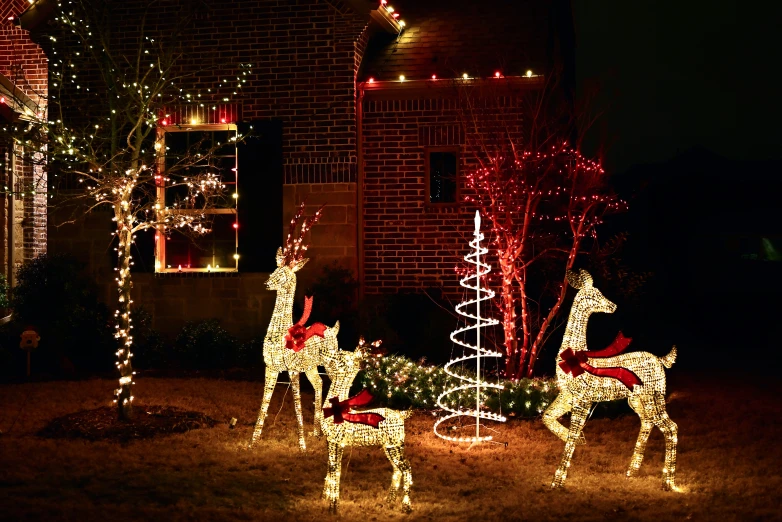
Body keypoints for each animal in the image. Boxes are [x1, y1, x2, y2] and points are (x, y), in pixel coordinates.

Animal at [248, 201, 340, 448]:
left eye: (284, 273)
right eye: (275, 268)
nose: (267, 282)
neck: (281, 333)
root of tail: (333, 329)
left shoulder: (292, 369)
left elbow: (297, 405)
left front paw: (302, 446)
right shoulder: (270, 368)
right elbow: (263, 405)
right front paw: (252, 442)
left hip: (329, 363)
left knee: (337, 382)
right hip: (311, 366)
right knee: (319, 384)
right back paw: (317, 432)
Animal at [320, 338, 416, 512]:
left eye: (341, 357)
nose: (325, 352)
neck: (338, 407)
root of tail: (401, 414)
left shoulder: (337, 441)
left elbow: (335, 469)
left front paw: (333, 506)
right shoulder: (331, 441)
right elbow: (332, 468)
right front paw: (326, 498)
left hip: (396, 444)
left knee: (406, 468)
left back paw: (406, 506)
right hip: (389, 446)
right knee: (397, 469)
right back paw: (389, 500)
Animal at [544, 268, 680, 488]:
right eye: (595, 295)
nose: (613, 305)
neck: (575, 355)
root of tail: (661, 360)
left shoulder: (583, 399)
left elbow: (572, 434)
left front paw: (558, 480)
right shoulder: (567, 395)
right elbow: (547, 417)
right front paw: (582, 439)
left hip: (654, 395)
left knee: (670, 427)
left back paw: (668, 482)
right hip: (637, 399)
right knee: (648, 422)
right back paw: (632, 471)